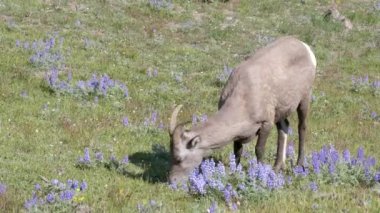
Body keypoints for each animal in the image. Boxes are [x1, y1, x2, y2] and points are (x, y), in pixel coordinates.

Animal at [168, 36, 316, 183]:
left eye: (179, 158)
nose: (172, 181)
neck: (244, 97)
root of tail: (305, 47)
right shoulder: (239, 136)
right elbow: (237, 153)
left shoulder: (266, 124)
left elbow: (259, 150)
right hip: (280, 111)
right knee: (284, 127)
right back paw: (277, 167)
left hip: (304, 99)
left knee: (302, 127)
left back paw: (299, 165)